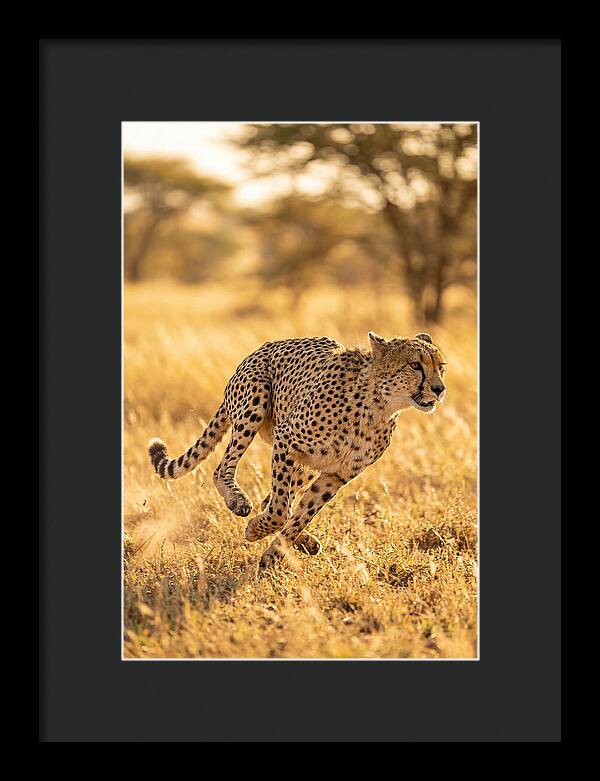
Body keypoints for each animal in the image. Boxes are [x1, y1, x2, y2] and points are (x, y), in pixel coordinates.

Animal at [147, 331, 447, 570]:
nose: (439, 389)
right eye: (415, 365)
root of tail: (258, 350)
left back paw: (305, 542)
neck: (379, 406)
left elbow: (301, 513)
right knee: (223, 469)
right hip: (256, 401)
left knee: (272, 499)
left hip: (306, 465)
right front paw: (256, 530)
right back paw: (238, 501)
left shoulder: (336, 475)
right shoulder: (287, 439)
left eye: (440, 366)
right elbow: (280, 509)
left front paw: (274, 554)